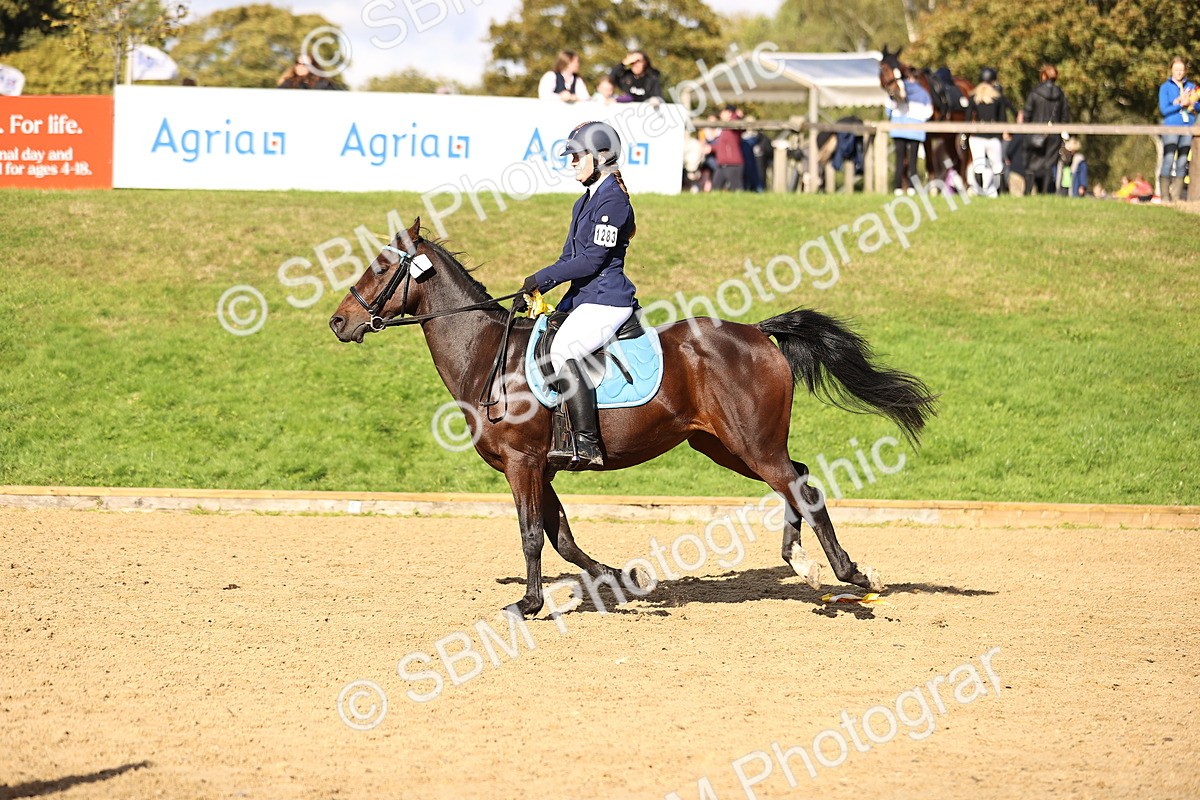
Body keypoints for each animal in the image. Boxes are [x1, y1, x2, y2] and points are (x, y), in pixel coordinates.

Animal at [329, 217, 938, 618]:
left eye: (381, 267)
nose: (338, 322)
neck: (486, 355)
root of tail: (758, 333)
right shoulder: (542, 468)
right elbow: (562, 536)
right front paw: (624, 578)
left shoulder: (523, 464)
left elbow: (532, 534)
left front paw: (529, 602)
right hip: (726, 446)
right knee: (800, 478)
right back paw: (802, 564)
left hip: (750, 444)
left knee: (797, 484)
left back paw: (848, 574)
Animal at [878, 46, 973, 189]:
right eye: (884, 68)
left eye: (899, 70)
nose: (897, 92)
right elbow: (904, 161)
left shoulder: (926, 135)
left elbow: (928, 163)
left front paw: (931, 189)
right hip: (949, 136)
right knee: (957, 161)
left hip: (966, 135)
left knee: (966, 160)